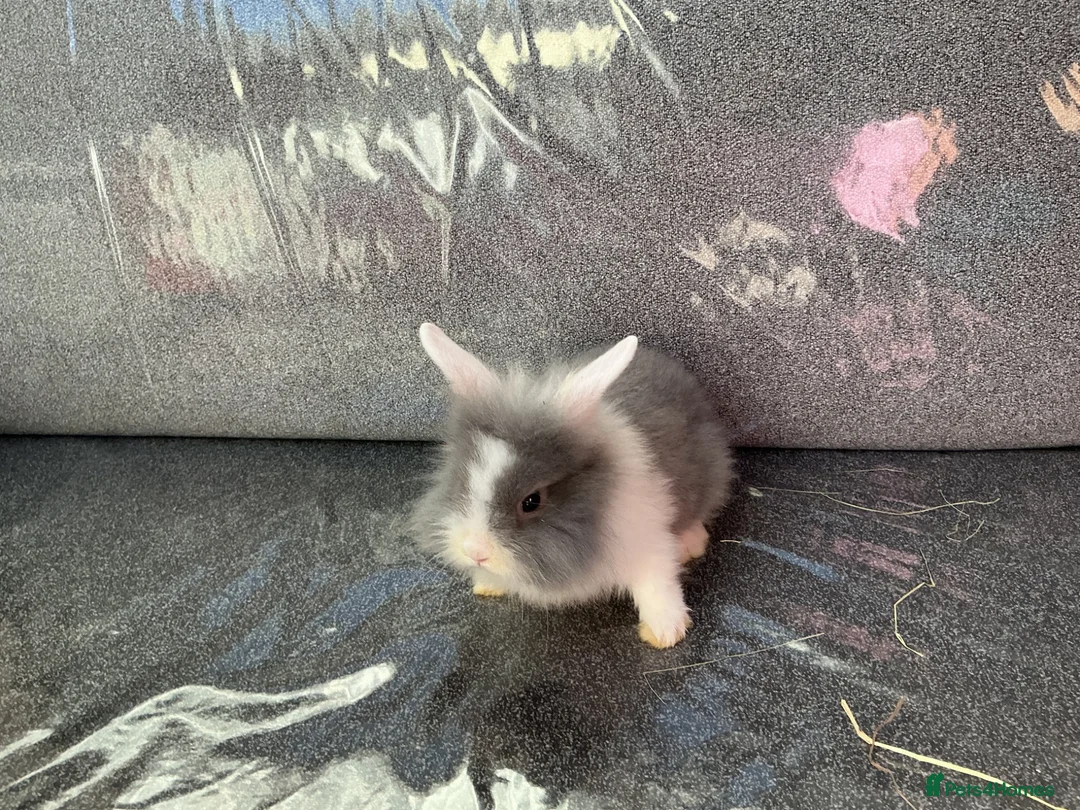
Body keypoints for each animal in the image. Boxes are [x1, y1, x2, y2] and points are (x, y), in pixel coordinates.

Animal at [410, 323, 734, 648]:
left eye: (532, 501)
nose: (475, 552)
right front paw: (488, 585)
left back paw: (691, 543)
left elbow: (657, 584)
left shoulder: (646, 540)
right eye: (462, 481)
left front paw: (665, 633)